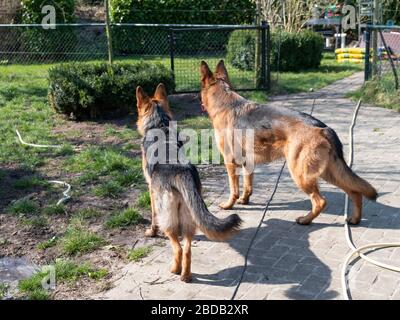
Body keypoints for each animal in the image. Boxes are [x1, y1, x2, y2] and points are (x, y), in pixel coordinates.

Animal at [135, 84, 241, 282]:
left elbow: (152, 216)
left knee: (177, 247)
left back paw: (175, 270)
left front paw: (151, 232)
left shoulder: (151, 191)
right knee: (187, 249)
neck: (160, 124)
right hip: (189, 216)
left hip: (169, 218)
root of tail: (182, 172)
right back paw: (186, 274)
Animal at [200, 60, 378, 225]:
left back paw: (305, 220)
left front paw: (229, 205)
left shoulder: (229, 162)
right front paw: (244, 200)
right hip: (329, 172)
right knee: (355, 192)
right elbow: (248, 186)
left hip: (301, 173)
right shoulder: (247, 162)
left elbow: (233, 189)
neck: (226, 102)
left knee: (320, 201)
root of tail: (322, 127)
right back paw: (355, 219)